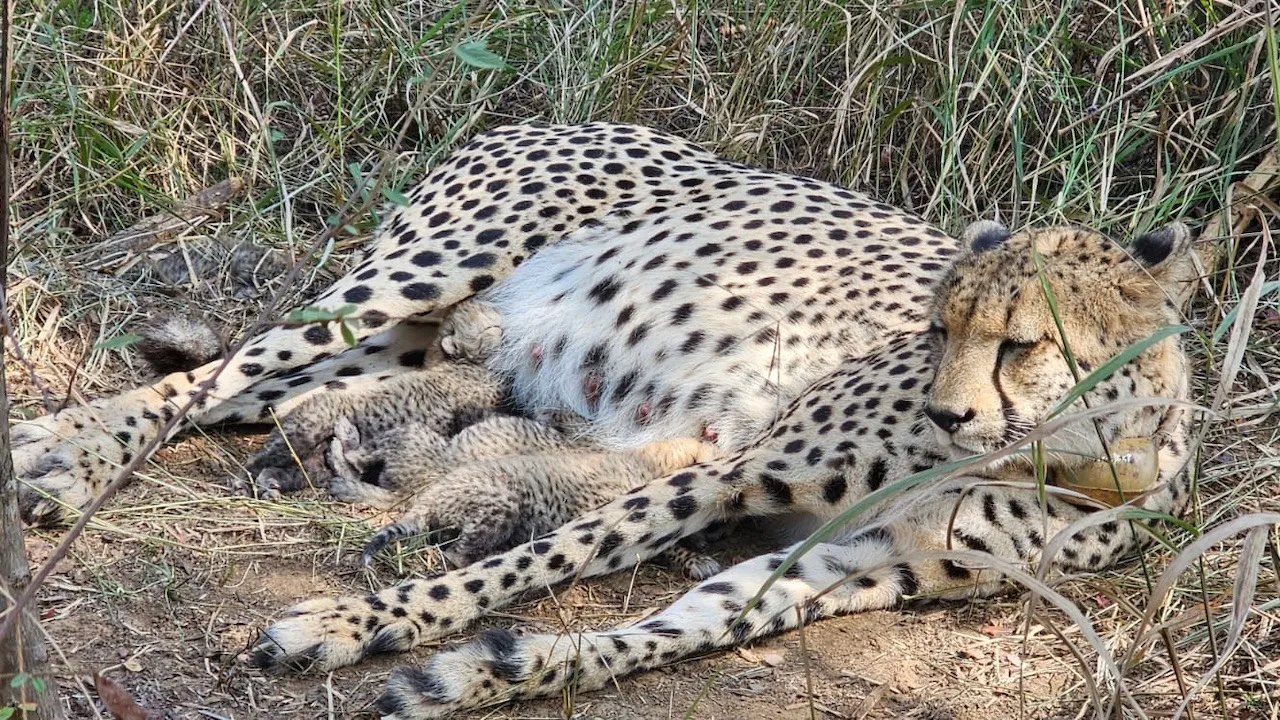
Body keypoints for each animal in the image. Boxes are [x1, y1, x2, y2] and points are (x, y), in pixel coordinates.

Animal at [8, 122, 1198, 718]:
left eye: (1021, 343)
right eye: (938, 327)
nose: (949, 410)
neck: (1074, 457)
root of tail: (541, 114)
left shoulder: (858, 564)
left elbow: (666, 629)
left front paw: (482, 674)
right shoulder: (733, 470)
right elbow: (544, 557)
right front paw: (358, 622)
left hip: (412, 345)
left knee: (273, 396)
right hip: (415, 278)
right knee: (214, 375)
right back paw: (62, 456)